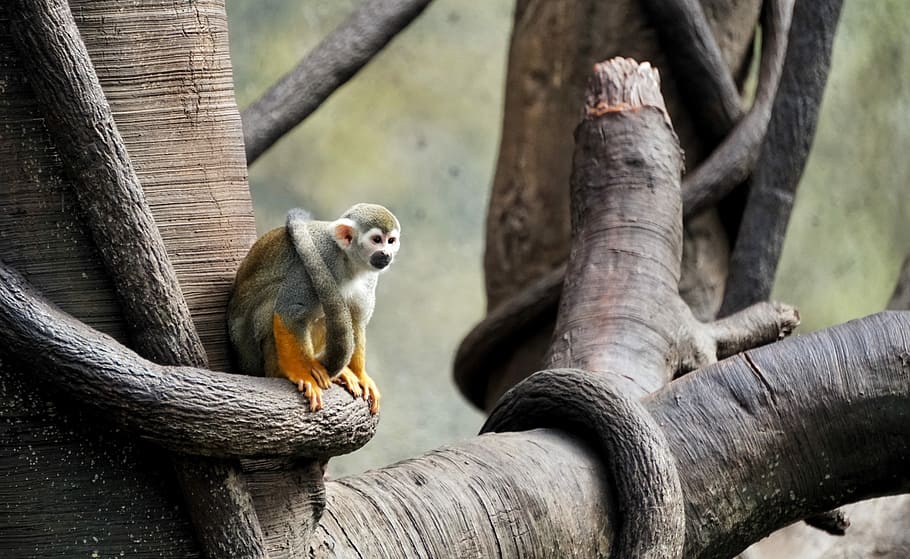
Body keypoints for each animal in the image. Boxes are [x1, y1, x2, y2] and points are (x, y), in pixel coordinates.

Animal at [227, 203, 401, 414]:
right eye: (376, 240)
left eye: (391, 241)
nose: (386, 254)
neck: (347, 260)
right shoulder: (321, 256)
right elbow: (290, 312)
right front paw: (300, 373)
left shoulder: (369, 277)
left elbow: (357, 322)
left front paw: (361, 375)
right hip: (249, 350)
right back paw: (281, 371)